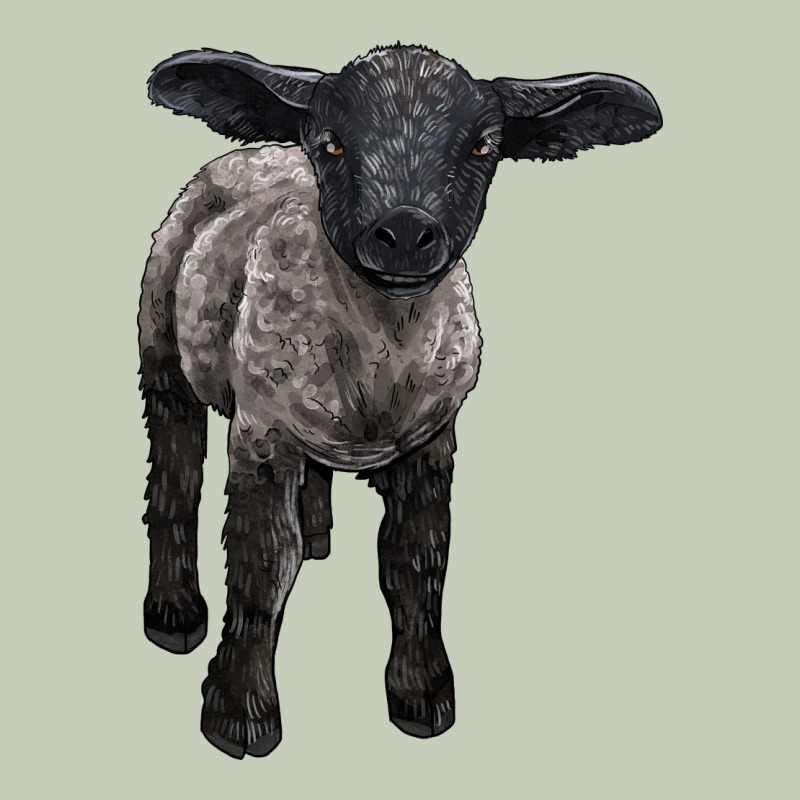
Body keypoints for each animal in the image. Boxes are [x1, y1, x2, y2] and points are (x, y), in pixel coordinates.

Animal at [140, 44, 661, 759]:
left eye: (483, 146)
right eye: (330, 142)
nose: (408, 233)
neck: (380, 355)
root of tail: (258, 153)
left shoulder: (431, 442)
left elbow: (415, 563)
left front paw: (422, 695)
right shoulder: (261, 434)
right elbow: (262, 565)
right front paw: (239, 712)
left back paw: (318, 533)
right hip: (162, 349)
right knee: (175, 470)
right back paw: (173, 612)